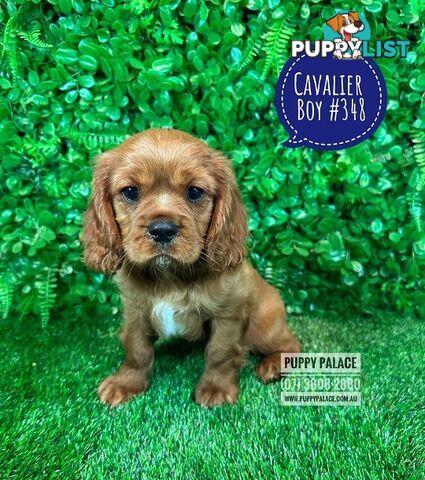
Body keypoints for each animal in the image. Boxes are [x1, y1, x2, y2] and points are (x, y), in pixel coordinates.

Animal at [83, 129, 300, 406]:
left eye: (195, 192)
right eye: (130, 192)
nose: (162, 230)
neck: (169, 276)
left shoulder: (227, 314)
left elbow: (220, 352)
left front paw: (216, 388)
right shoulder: (135, 311)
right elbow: (136, 348)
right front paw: (127, 383)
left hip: (263, 326)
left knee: (292, 344)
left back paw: (272, 365)